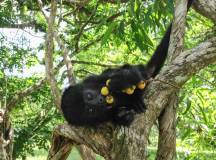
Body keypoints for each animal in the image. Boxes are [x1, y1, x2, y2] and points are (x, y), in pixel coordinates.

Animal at [61, 0, 194, 126]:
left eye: (89, 96)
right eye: (90, 110)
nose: (99, 101)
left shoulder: (93, 79)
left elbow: (125, 72)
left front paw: (119, 82)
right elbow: (117, 117)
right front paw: (123, 116)